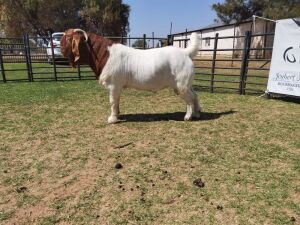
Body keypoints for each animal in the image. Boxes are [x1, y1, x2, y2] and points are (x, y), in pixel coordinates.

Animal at [60, 29, 202, 124]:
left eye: (67, 38)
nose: (60, 48)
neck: (104, 54)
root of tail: (185, 52)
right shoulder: (117, 87)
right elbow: (116, 101)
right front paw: (118, 115)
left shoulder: (113, 85)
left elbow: (112, 101)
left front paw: (112, 119)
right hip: (186, 83)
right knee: (195, 95)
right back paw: (197, 114)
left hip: (181, 84)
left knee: (189, 98)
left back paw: (188, 117)